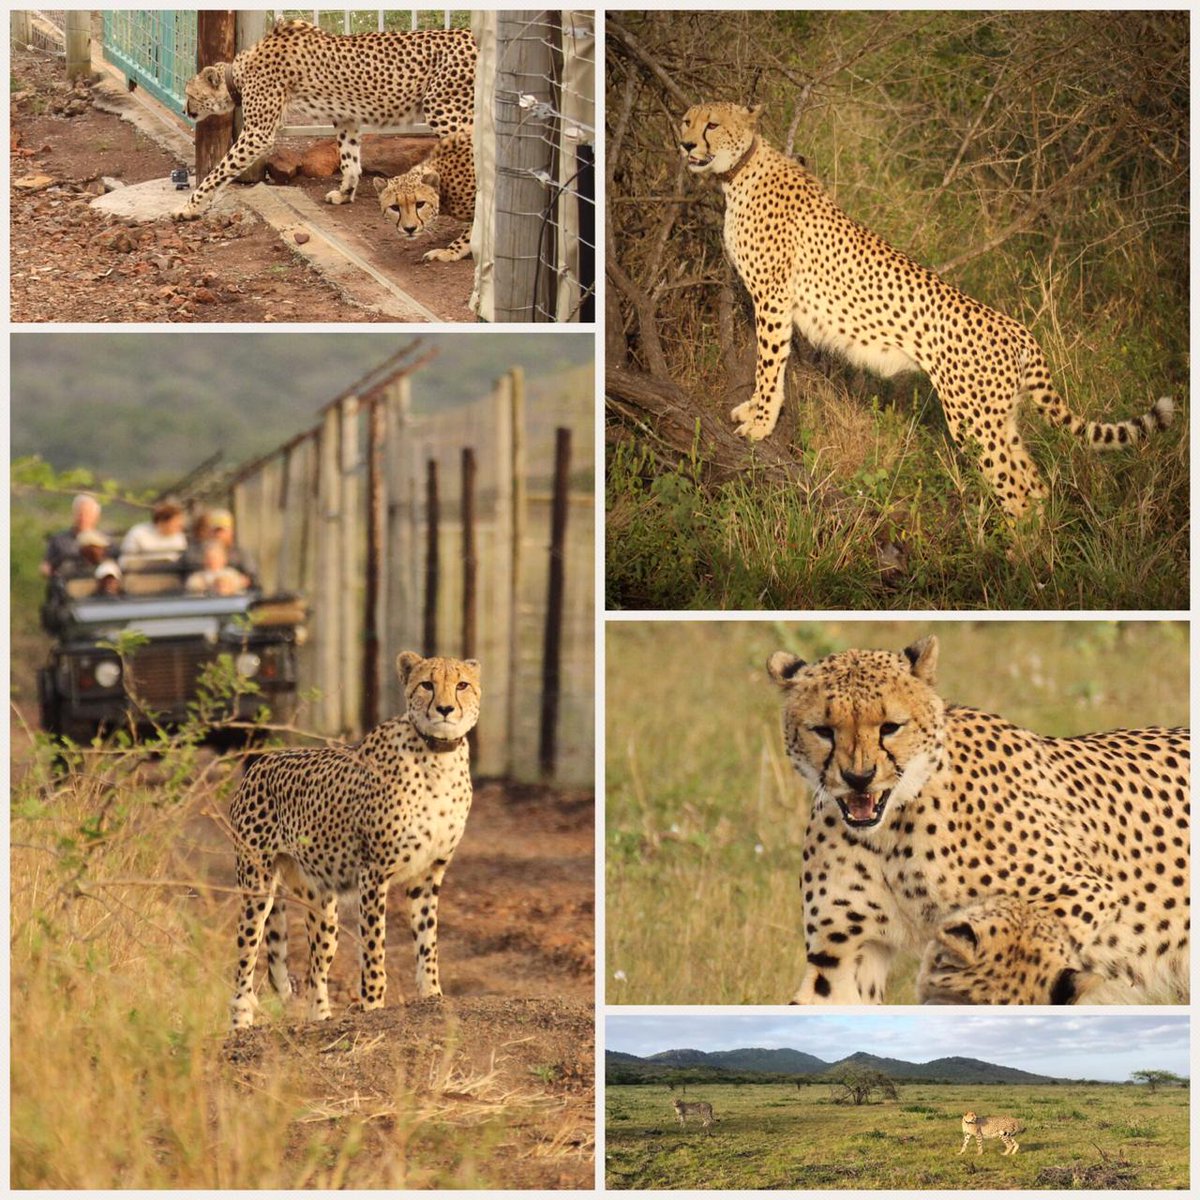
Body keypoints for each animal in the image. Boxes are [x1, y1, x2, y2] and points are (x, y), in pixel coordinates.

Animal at [178, 17, 476, 220]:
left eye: (189, 93)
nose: (185, 111)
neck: (238, 75)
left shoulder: (257, 133)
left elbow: (220, 170)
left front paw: (191, 205)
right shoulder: (347, 117)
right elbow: (349, 160)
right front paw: (345, 193)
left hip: (445, 110)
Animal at [228, 651, 480, 1031]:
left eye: (462, 684)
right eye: (427, 684)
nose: (446, 709)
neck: (438, 758)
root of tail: (261, 762)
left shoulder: (429, 874)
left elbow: (427, 942)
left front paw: (432, 996)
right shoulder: (374, 873)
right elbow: (374, 947)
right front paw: (373, 1007)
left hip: (321, 902)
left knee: (316, 968)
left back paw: (322, 1019)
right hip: (257, 887)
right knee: (245, 957)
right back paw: (240, 1027)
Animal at [678, 101, 1175, 519]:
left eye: (712, 125)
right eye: (686, 120)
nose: (685, 145)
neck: (739, 171)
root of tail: (1018, 328)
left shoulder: (773, 296)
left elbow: (769, 362)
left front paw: (760, 424)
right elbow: (774, 364)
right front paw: (755, 413)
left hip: (974, 421)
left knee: (1014, 488)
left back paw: (1016, 558)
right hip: (1000, 418)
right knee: (1034, 484)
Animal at [766, 635, 1189, 1005]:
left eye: (890, 726)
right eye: (823, 730)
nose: (859, 777)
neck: (890, 830)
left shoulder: (1086, 889)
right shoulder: (842, 954)